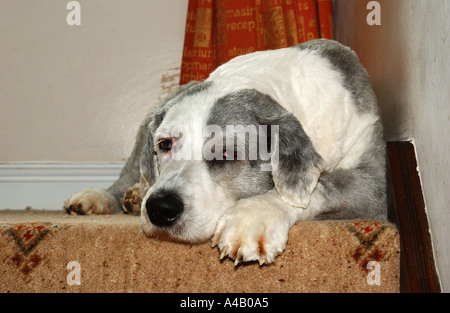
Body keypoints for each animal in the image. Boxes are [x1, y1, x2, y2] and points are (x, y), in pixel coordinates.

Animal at [63, 38, 386, 264]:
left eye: (226, 155)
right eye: (165, 144)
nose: (160, 208)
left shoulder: (376, 188)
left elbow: (322, 185)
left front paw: (253, 217)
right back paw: (101, 197)